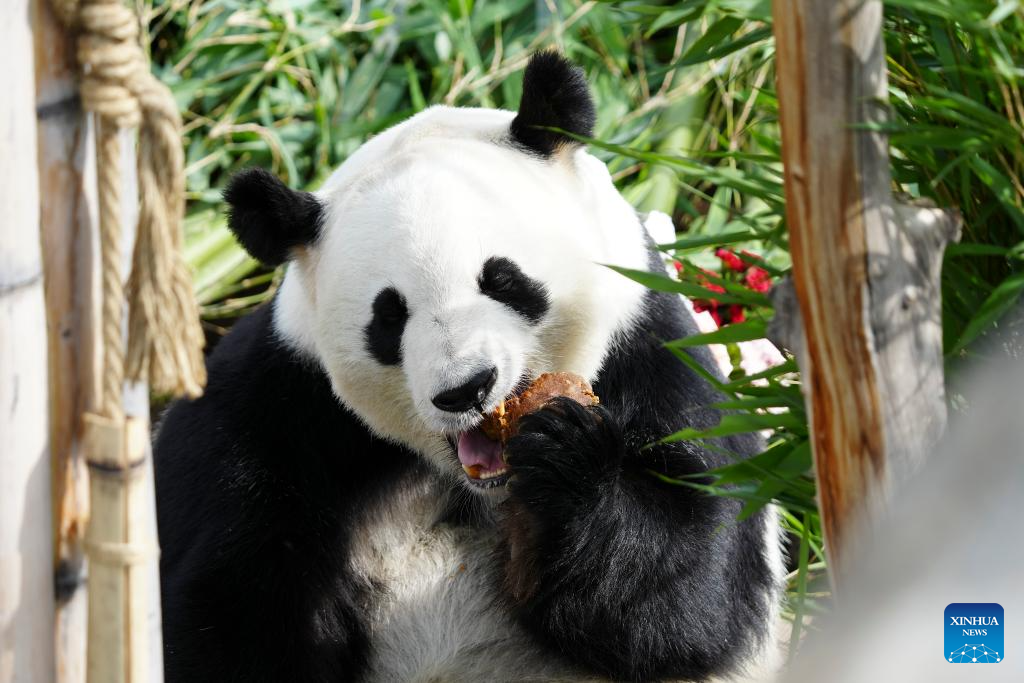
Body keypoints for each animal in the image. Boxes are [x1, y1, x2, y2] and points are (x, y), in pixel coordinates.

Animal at [155, 53, 782, 683]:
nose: (466, 389)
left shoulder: (651, 349)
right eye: (389, 316)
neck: (472, 483)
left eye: (502, 280)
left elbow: (689, 589)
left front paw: (565, 453)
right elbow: (228, 607)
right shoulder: (274, 409)